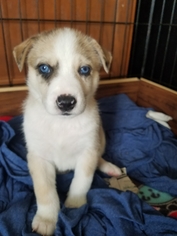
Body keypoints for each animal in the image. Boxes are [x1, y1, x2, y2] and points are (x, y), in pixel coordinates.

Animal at [12, 28, 121, 236]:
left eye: (84, 69)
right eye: (44, 68)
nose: (66, 102)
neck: (61, 124)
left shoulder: (87, 153)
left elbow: (81, 182)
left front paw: (75, 206)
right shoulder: (39, 158)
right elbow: (45, 192)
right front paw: (46, 220)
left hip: (100, 138)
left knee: (99, 157)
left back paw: (110, 168)